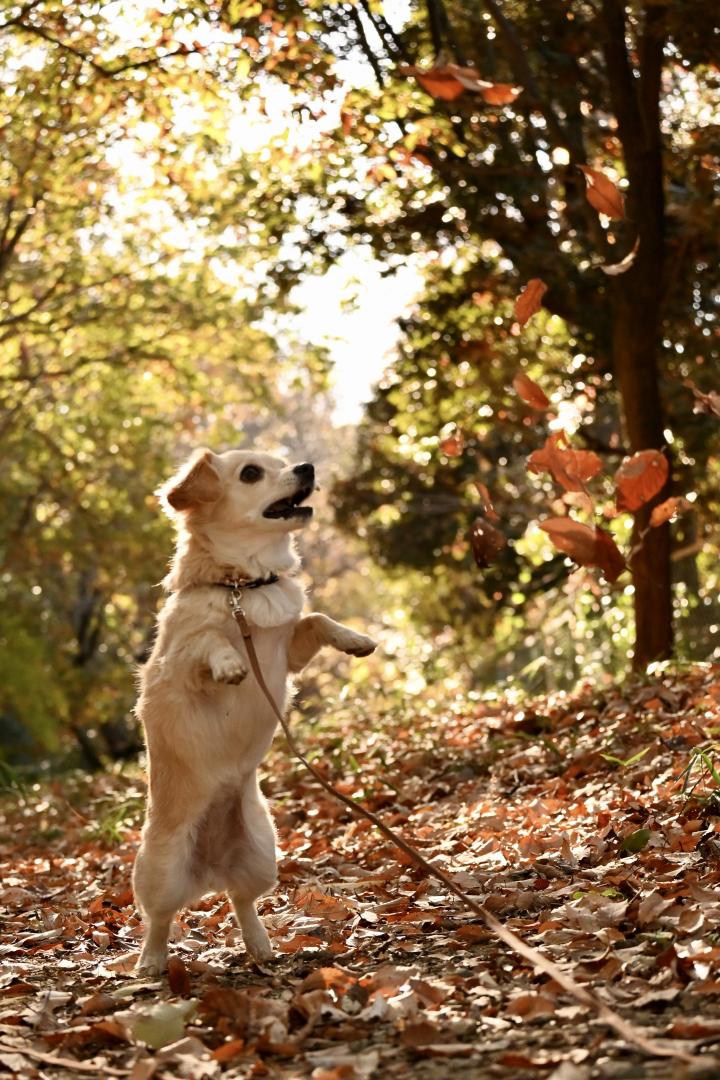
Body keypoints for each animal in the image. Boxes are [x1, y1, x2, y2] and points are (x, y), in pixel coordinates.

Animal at [132, 442, 377, 976]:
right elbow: (208, 640)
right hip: (160, 867)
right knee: (160, 919)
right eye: (250, 474)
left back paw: (260, 945)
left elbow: (315, 617)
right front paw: (230, 663)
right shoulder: (178, 666)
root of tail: (209, 869)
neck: (244, 587)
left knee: (241, 901)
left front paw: (355, 640)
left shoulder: (289, 652)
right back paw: (152, 962)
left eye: (283, 461)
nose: (306, 467)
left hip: (262, 853)